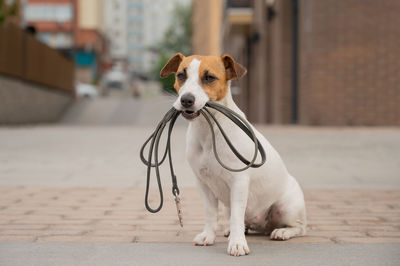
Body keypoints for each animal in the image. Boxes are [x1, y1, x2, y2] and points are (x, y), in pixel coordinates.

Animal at [159, 53, 306, 256]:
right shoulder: (203, 183)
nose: (186, 99)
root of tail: (262, 225)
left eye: (209, 77)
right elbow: (211, 213)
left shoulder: (239, 182)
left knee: (299, 227)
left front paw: (237, 244)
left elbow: (237, 215)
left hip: (287, 207)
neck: (209, 130)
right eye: (181, 75)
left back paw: (282, 231)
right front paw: (208, 236)